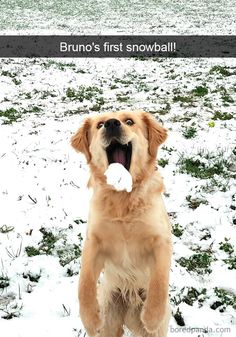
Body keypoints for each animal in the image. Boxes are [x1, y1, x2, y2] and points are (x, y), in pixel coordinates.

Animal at [71, 110, 172, 336]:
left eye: (129, 121)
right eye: (100, 124)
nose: (111, 123)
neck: (123, 198)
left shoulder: (161, 240)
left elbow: (160, 281)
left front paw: (152, 316)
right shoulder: (94, 242)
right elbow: (84, 283)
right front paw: (90, 318)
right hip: (111, 316)